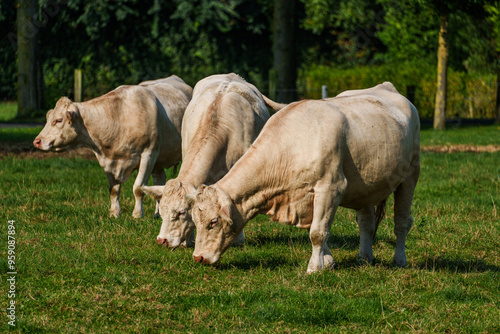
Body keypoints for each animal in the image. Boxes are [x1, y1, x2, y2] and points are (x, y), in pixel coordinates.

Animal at [33, 75, 192, 219]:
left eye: (58, 120)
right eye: (48, 118)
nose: (37, 141)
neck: (119, 118)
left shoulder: (149, 154)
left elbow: (138, 188)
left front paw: (137, 215)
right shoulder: (107, 160)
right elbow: (114, 190)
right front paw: (115, 213)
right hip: (159, 161)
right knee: (159, 181)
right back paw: (158, 214)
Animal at [186, 82, 420, 272]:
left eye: (213, 222)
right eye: (195, 221)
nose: (198, 257)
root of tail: (386, 87)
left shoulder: (331, 187)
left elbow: (318, 232)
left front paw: (315, 267)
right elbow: (319, 228)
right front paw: (328, 261)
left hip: (410, 175)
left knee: (402, 222)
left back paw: (399, 260)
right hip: (365, 187)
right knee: (366, 223)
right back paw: (364, 258)